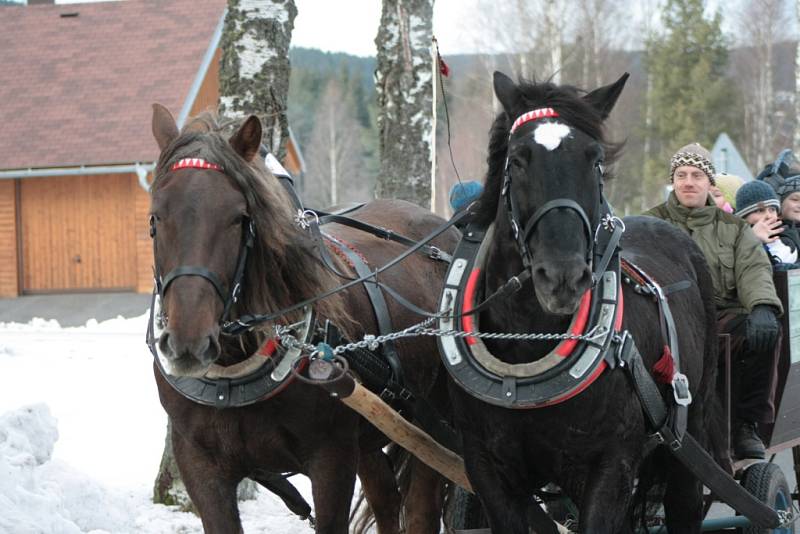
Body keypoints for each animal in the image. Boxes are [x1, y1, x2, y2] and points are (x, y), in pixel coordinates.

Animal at [148, 105, 460, 534]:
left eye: (238, 217)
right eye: (156, 217)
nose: (188, 342)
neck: (237, 370)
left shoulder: (332, 458)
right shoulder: (200, 464)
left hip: (432, 421)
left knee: (420, 508)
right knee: (385, 496)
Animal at [444, 74, 724, 534]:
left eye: (594, 160)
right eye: (517, 160)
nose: (563, 277)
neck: (527, 347)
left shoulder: (609, 468)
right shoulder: (487, 471)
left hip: (689, 434)